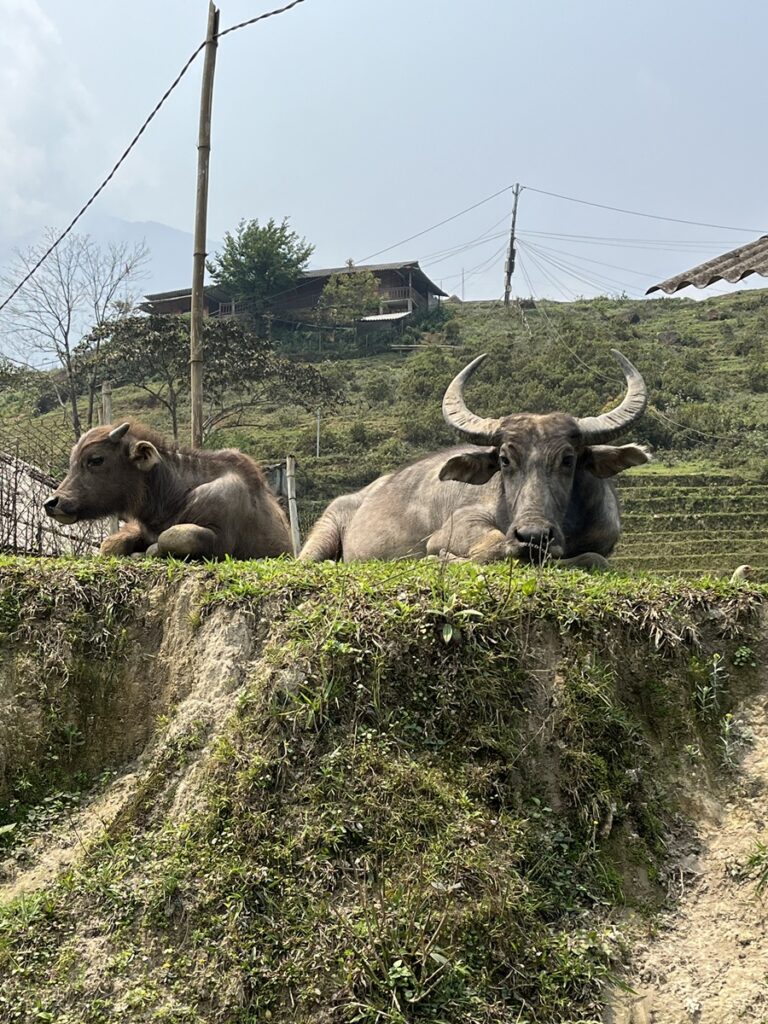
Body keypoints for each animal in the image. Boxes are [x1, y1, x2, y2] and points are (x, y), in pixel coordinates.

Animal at [44, 422, 292, 559]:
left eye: (96, 459)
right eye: (72, 461)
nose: (52, 503)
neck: (175, 497)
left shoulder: (220, 538)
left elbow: (170, 537)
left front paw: (146, 552)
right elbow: (110, 545)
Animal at [300, 350, 650, 567]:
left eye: (568, 460)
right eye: (505, 460)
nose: (532, 536)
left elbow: (594, 558)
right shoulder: (456, 528)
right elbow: (492, 545)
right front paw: (441, 558)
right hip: (323, 532)